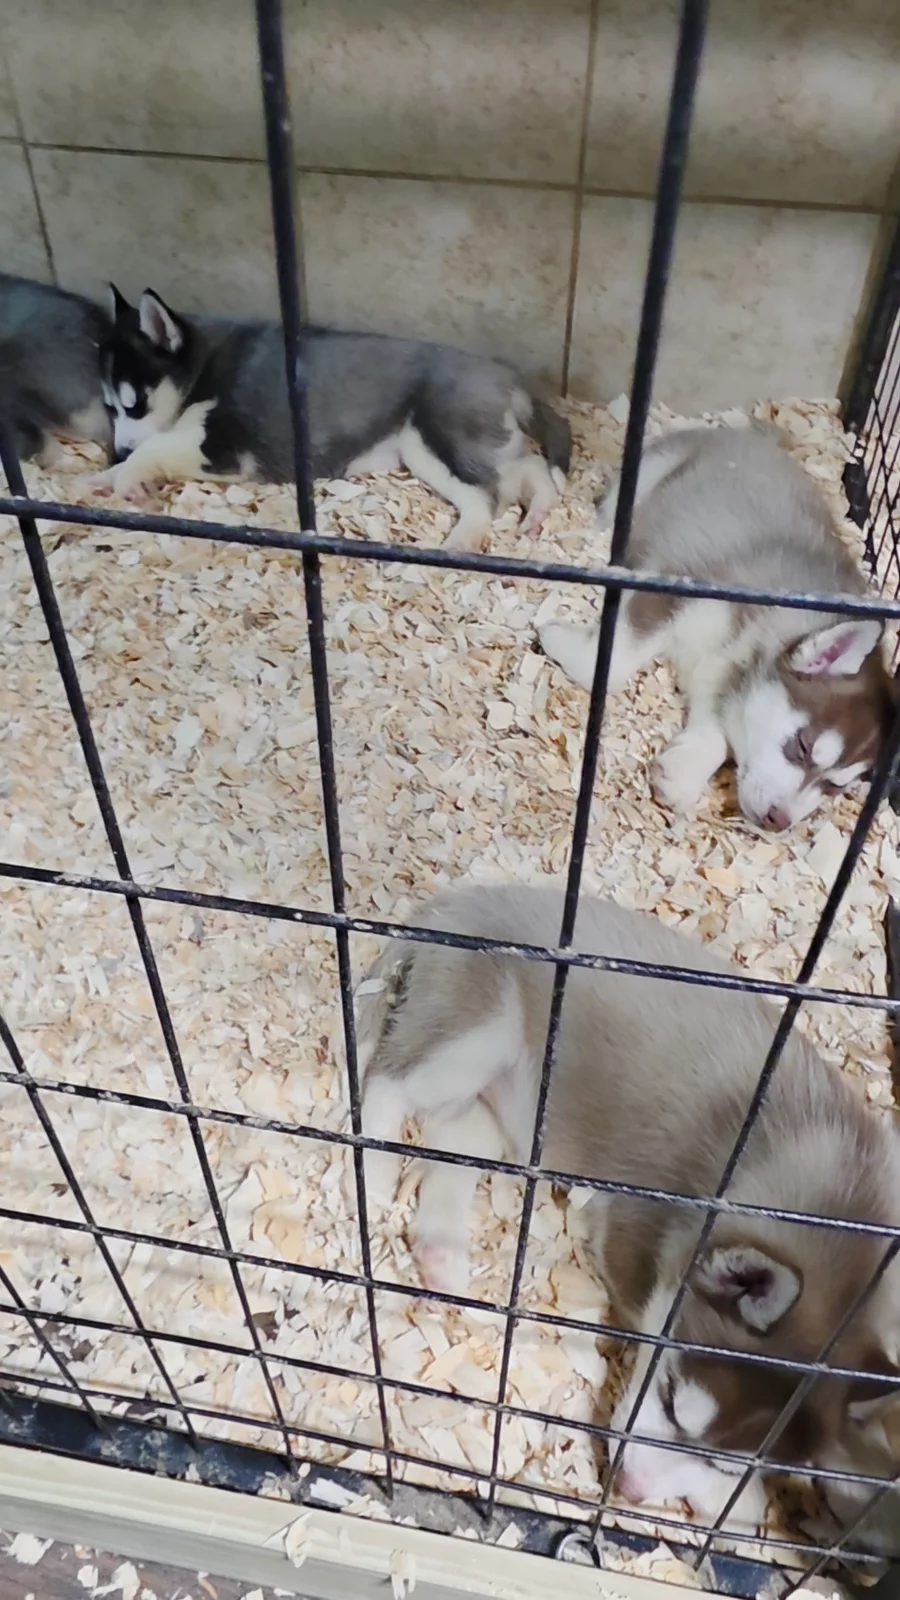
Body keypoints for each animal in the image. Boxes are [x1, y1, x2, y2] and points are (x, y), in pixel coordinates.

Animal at [92, 287, 571, 549]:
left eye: (135, 403)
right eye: (110, 407)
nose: (117, 450)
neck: (203, 371)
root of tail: (507, 374)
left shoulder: (223, 448)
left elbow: (156, 444)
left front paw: (128, 476)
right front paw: (101, 478)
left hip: (431, 440)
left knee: (489, 496)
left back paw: (463, 541)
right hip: (468, 445)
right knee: (528, 467)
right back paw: (538, 514)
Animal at [357, 882, 900, 1532]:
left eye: (728, 1460)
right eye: (668, 1401)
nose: (630, 1491)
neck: (841, 1201)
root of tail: (470, 896)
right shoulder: (634, 1235)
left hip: (506, 1107)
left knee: (454, 1141)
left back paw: (443, 1256)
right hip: (474, 1036)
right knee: (388, 1080)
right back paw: (371, 1172)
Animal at [538, 425, 896, 829]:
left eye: (833, 787)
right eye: (802, 747)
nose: (779, 821)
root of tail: (746, 433)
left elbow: (720, 729)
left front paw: (685, 769)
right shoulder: (672, 587)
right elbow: (611, 664)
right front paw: (558, 640)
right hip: (646, 475)